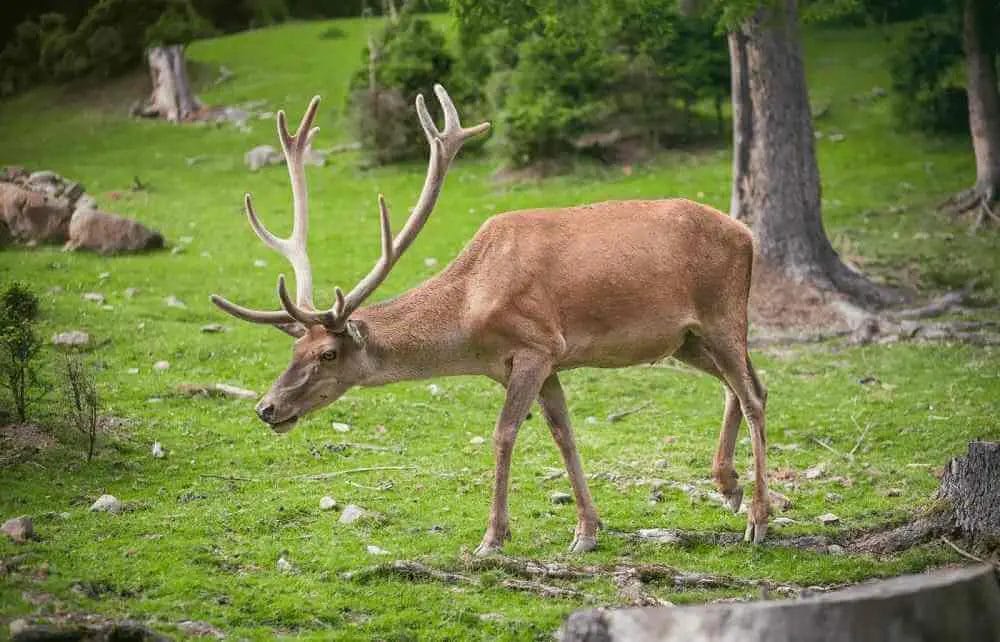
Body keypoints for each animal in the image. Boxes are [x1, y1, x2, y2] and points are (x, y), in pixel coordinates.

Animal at [211, 85, 770, 555]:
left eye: (328, 354)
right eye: (294, 350)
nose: (266, 407)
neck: (469, 317)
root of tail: (747, 234)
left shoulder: (536, 345)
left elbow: (504, 434)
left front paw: (492, 538)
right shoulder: (543, 363)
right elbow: (564, 434)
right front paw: (587, 531)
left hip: (723, 312)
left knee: (754, 393)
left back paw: (759, 519)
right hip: (686, 338)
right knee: (741, 384)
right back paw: (729, 486)